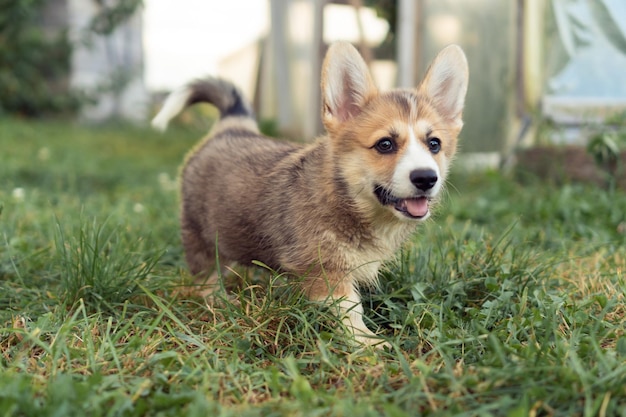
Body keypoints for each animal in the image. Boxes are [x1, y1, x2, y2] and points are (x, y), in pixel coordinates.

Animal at [150, 41, 464, 344]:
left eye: (434, 144)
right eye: (385, 144)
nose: (426, 178)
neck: (352, 203)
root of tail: (232, 127)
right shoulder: (324, 269)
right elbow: (350, 308)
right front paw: (366, 343)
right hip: (199, 234)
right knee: (206, 273)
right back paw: (217, 300)